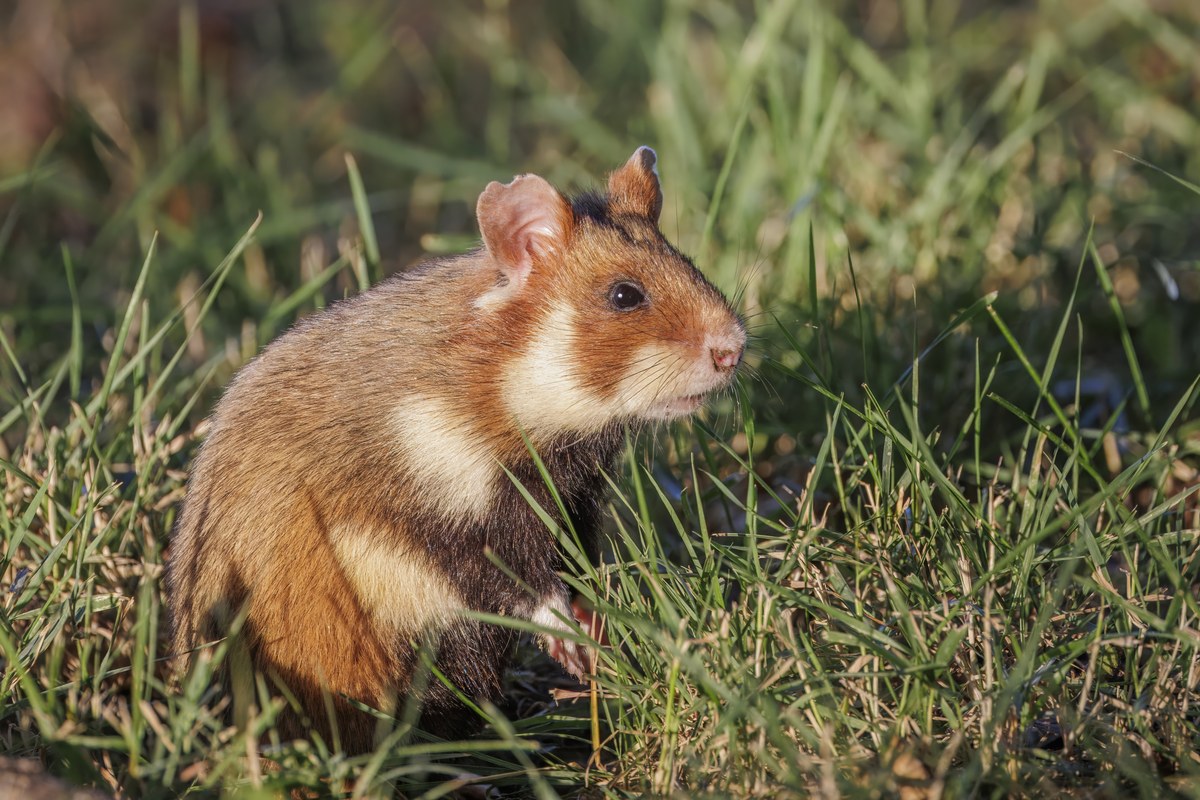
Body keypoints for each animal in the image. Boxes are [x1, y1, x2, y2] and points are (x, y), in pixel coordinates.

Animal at [167, 146, 746, 753]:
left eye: (689, 263)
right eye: (624, 295)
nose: (734, 350)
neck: (507, 385)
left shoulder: (574, 501)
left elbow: (576, 571)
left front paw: (599, 634)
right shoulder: (449, 519)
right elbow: (525, 585)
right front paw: (573, 647)